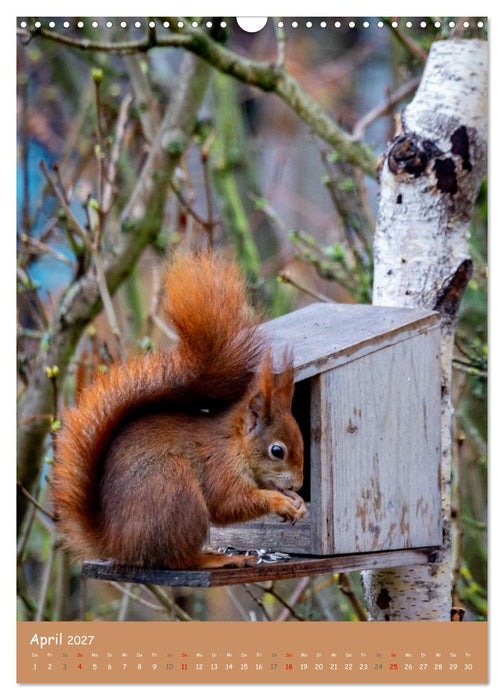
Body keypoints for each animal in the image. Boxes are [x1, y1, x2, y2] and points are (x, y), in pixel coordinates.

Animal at [51, 250, 306, 570]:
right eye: (277, 451)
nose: (299, 484)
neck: (234, 445)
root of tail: (115, 542)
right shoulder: (219, 469)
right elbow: (229, 504)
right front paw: (280, 501)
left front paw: (299, 505)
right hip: (176, 490)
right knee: (179, 560)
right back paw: (218, 559)